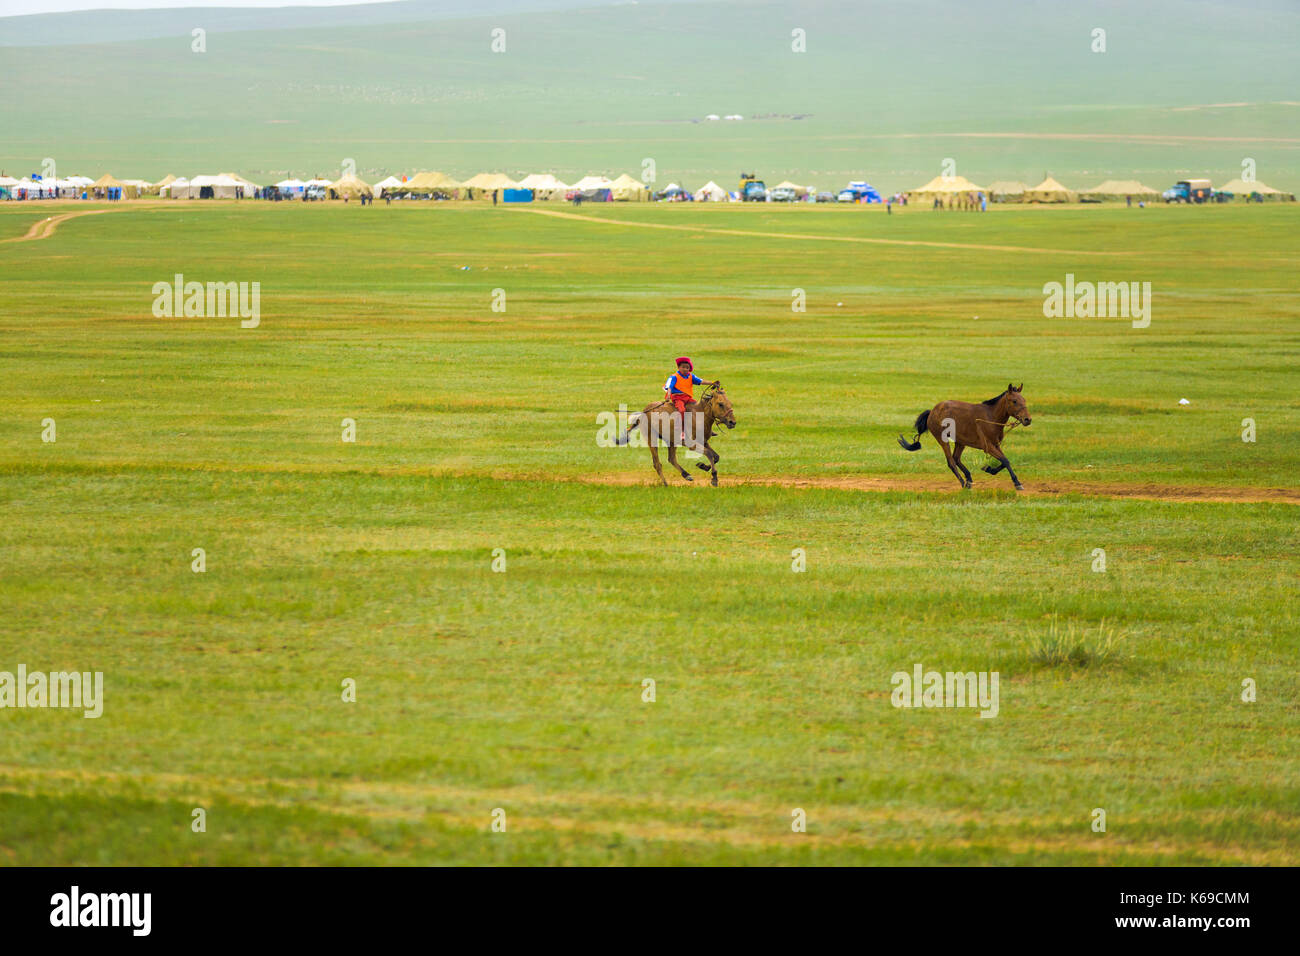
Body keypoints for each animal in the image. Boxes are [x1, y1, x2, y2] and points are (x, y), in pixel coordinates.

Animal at [899, 382, 1029, 489]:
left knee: (956, 458)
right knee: (951, 462)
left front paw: (989, 469)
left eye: (1024, 400)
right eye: (1014, 401)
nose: (1028, 419)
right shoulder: (987, 446)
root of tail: (932, 411)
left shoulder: (996, 445)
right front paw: (1017, 483)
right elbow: (1005, 460)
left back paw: (969, 478)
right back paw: (963, 483)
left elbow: (1004, 461)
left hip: (960, 441)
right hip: (942, 439)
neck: (991, 417)